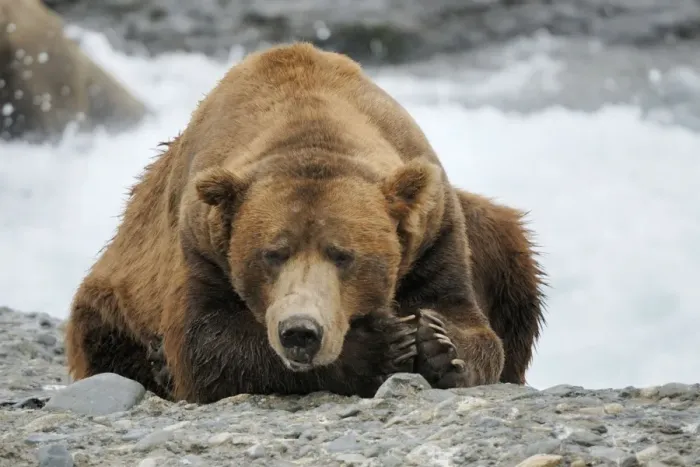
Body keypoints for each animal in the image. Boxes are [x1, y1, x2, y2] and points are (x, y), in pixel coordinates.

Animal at [64, 42, 546, 403]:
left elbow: (469, 320)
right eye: (272, 254)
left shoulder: (434, 230)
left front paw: (440, 344)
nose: (301, 332)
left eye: (344, 255)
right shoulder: (199, 242)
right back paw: (156, 365)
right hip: (110, 298)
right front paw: (376, 347)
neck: (310, 123)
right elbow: (207, 343)